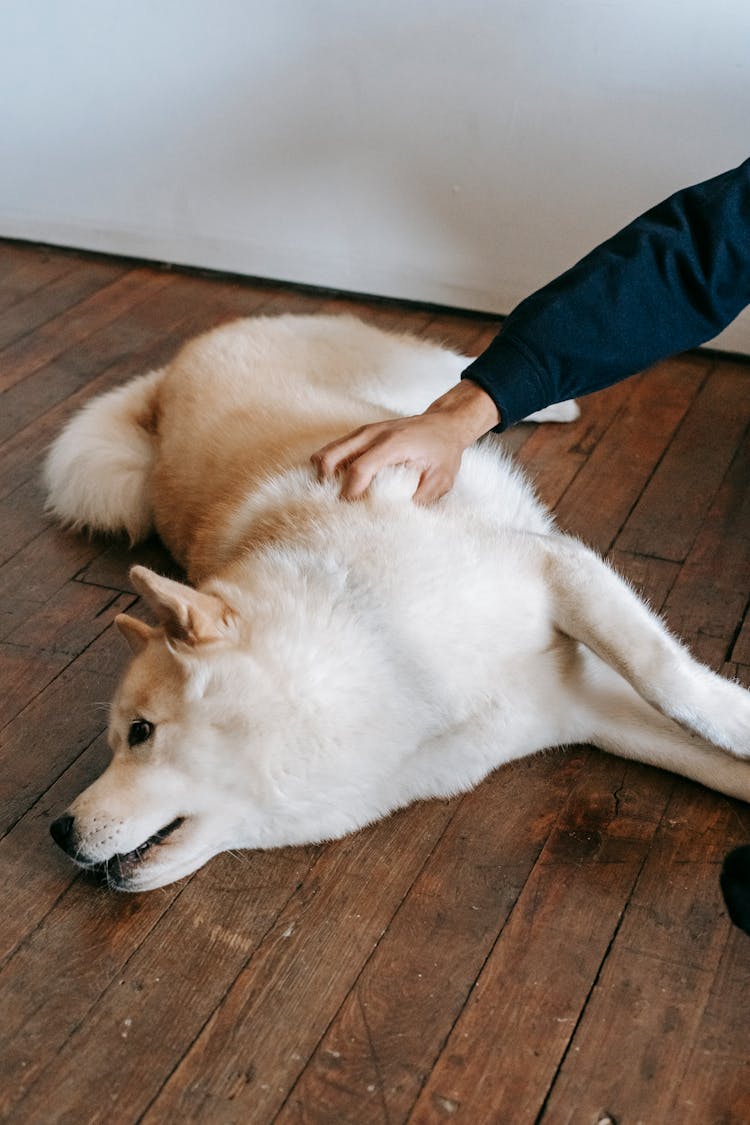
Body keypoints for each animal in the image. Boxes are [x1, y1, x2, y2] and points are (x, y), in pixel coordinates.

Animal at [45, 319, 750, 895]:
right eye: (115, 740)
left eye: (140, 733)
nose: (58, 830)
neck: (381, 669)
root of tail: (170, 375)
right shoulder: (582, 706)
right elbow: (704, 755)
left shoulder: (554, 566)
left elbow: (667, 678)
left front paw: (736, 720)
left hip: (419, 378)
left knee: (472, 375)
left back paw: (560, 404)